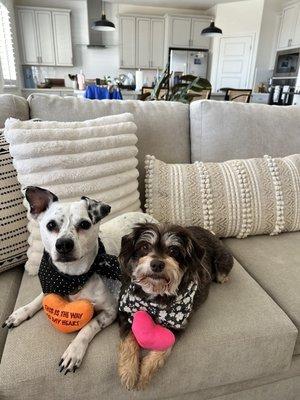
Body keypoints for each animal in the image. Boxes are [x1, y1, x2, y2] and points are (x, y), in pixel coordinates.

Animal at [116, 223, 233, 390]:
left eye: (174, 250)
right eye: (145, 246)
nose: (157, 264)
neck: (156, 294)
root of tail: (210, 233)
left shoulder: (177, 326)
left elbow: (163, 348)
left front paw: (144, 374)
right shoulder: (125, 313)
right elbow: (129, 342)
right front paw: (128, 372)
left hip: (223, 262)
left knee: (222, 274)